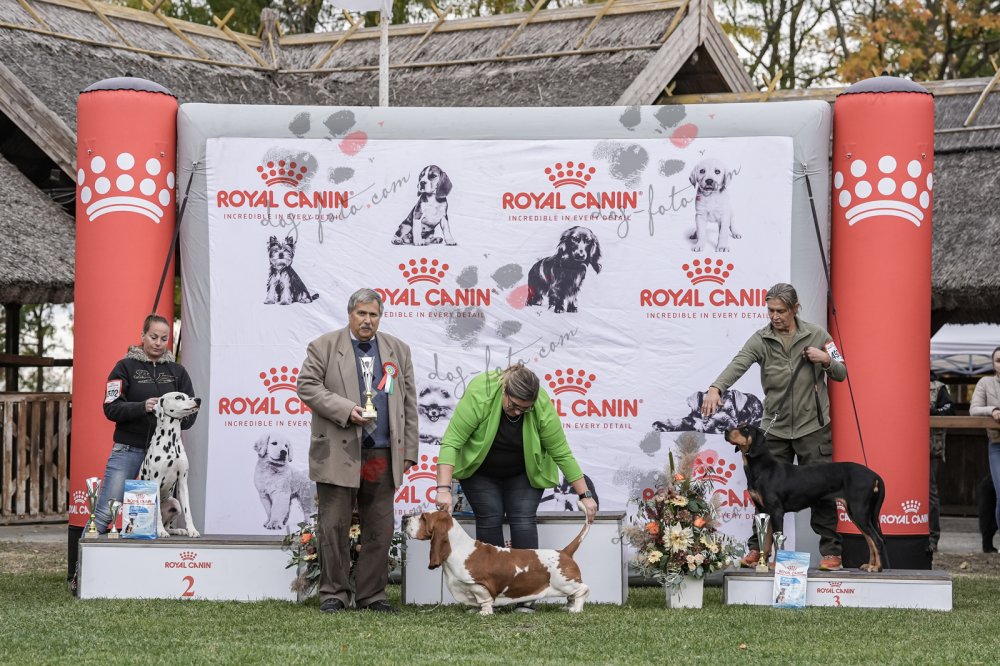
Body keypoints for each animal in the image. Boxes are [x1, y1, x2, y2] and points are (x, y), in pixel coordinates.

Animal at [139, 391, 201, 538]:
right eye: (178, 397)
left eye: (188, 395)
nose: (198, 400)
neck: (171, 441)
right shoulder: (156, 481)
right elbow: (157, 515)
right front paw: (160, 531)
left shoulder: (183, 482)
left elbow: (188, 511)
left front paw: (192, 530)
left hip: (175, 503)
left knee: (168, 525)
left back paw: (176, 530)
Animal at [403, 510, 591, 615]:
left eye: (423, 518)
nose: (404, 520)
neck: (458, 547)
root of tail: (564, 552)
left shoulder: (478, 585)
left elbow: (484, 600)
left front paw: (484, 613)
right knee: (573, 596)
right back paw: (568, 607)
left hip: (565, 583)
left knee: (583, 590)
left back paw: (576, 609)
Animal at [725, 424, 887, 572]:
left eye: (745, 429)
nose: (726, 431)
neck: (763, 468)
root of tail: (874, 475)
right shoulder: (764, 511)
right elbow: (766, 542)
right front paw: (761, 562)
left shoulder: (776, 511)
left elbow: (777, 542)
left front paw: (774, 564)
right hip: (858, 514)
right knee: (870, 540)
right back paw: (869, 565)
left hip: (858, 511)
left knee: (877, 540)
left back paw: (876, 567)